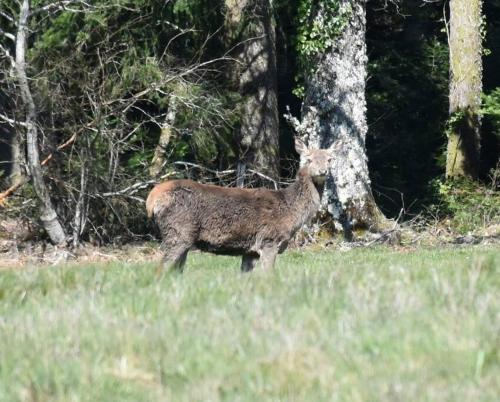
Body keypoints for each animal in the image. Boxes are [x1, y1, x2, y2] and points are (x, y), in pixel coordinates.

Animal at [146, 137, 332, 272]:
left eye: (330, 159)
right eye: (309, 159)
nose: (323, 171)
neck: (291, 212)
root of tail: (151, 200)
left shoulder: (250, 251)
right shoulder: (269, 240)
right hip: (178, 233)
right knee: (160, 270)